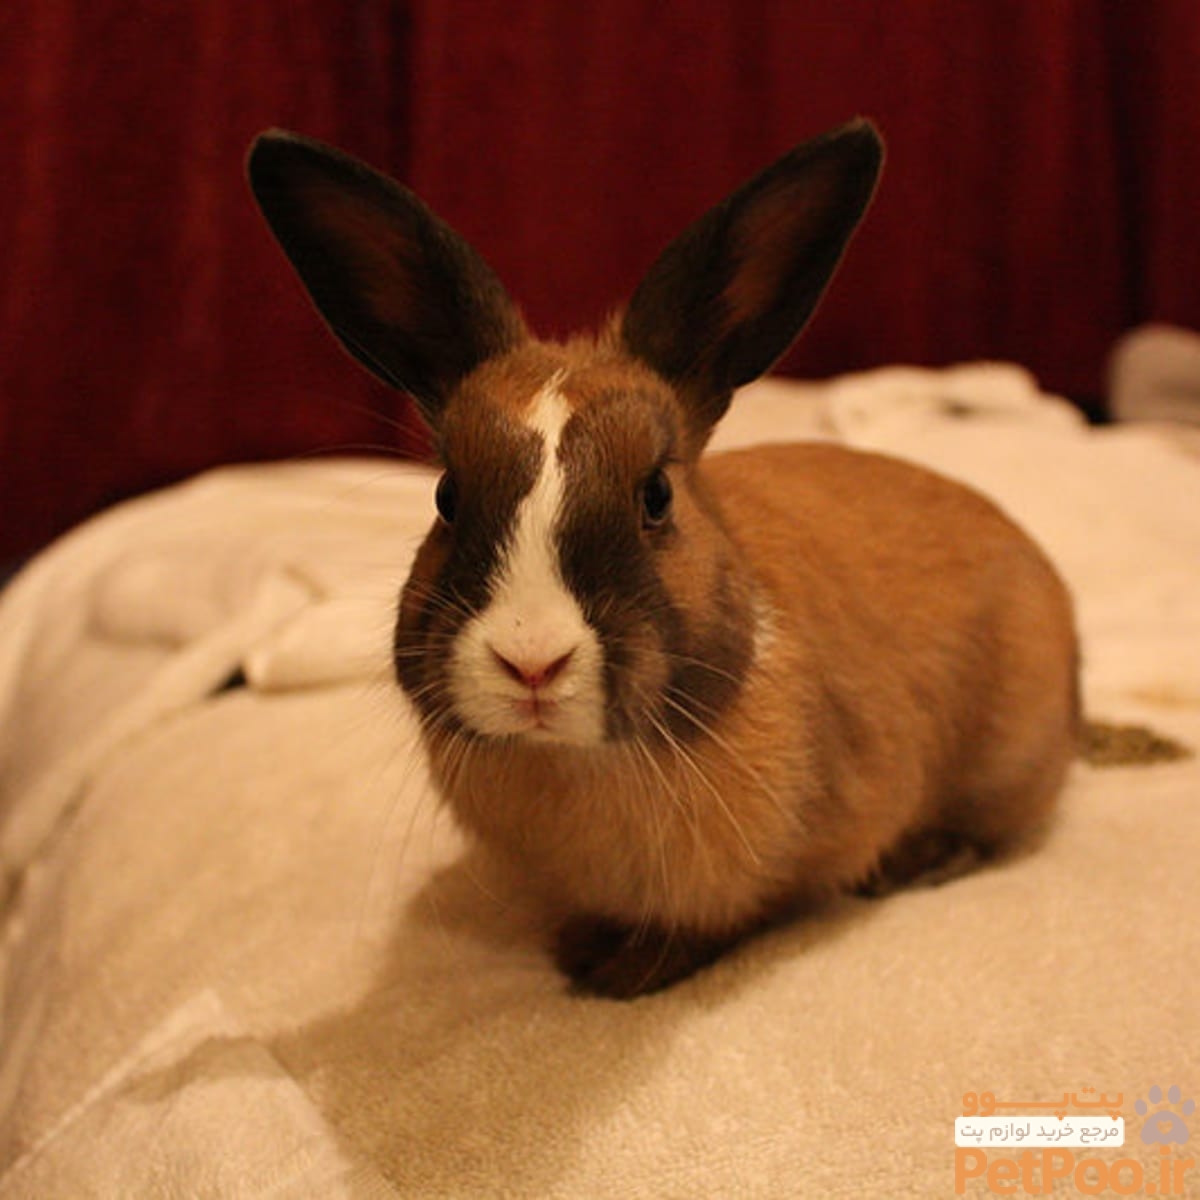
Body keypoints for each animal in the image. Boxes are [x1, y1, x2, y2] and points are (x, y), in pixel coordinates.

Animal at [247, 119, 1080, 999]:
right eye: (446, 496)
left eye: (656, 495)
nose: (531, 661)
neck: (574, 766)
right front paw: (583, 952)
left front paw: (619, 974)